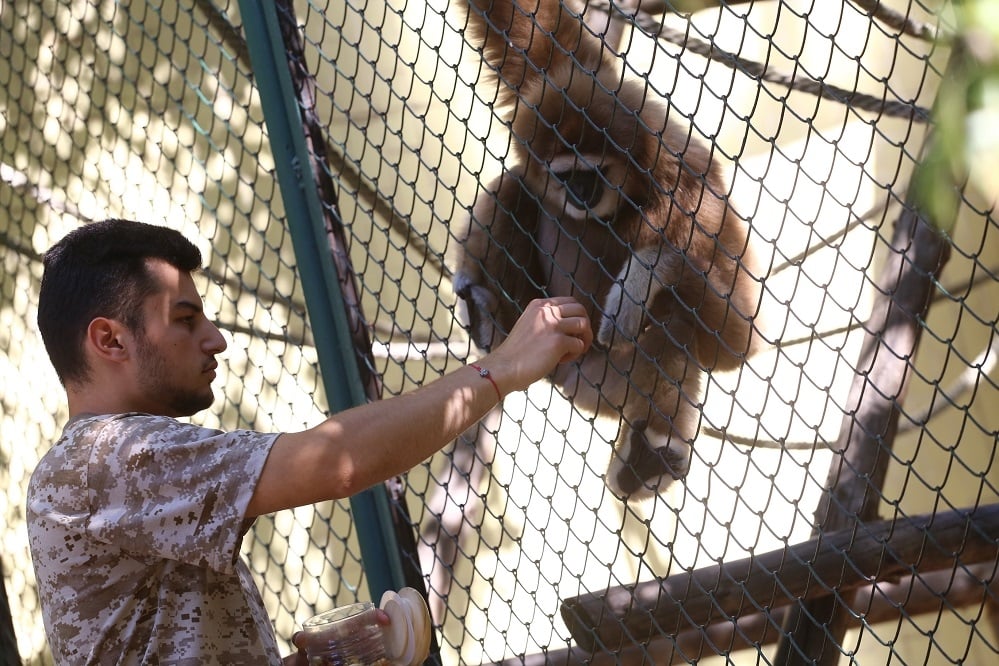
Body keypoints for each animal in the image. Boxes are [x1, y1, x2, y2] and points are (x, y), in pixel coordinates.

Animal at [450, 0, 760, 498]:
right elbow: (528, 26)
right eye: (564, 174)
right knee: (516, 185)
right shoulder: (564, 73)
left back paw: (649, 455)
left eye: (591, 172)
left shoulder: (692, 188)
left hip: (602, 383)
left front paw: (646, 274)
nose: (579, 193)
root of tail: (563, 376)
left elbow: (734, 342)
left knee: (673, 322)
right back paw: (490, 319)